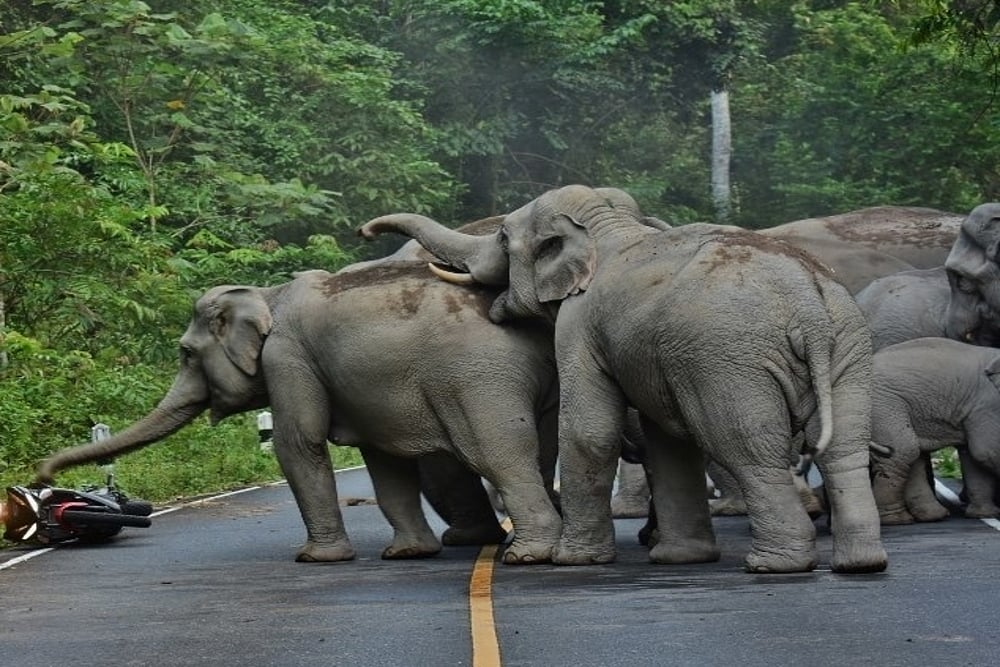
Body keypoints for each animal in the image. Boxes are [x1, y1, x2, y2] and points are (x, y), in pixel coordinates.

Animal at [37, 261, 563, 564]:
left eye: (185, 353)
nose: (42, 476)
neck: (267, 294)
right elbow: (383, 462)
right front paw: (406, 553)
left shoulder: (287, 358)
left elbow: (298, 444)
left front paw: (314, 559)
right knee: (541, 451)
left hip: (477, 379)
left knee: (498, 456)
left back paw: (528, 555)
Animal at [361, 184, 889, 574]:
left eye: (504, 240)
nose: (365, 230)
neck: (605, 227)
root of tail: (808, 302)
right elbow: (666, 441)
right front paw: (678, 559)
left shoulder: (579, 324)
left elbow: (589, 430)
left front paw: (572, 560)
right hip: (848, 347)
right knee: (844, 448)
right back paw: (860, 563)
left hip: (731, 360)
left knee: (748, 449)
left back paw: (773, 565)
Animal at [869, 337, 1000, 524]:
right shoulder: (987, 404)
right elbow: (988, 451)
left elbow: (972, 455)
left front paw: (985, 514)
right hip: (883, 405)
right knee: (903, 451)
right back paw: (897, 520)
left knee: (911, 455)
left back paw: (932, 516)